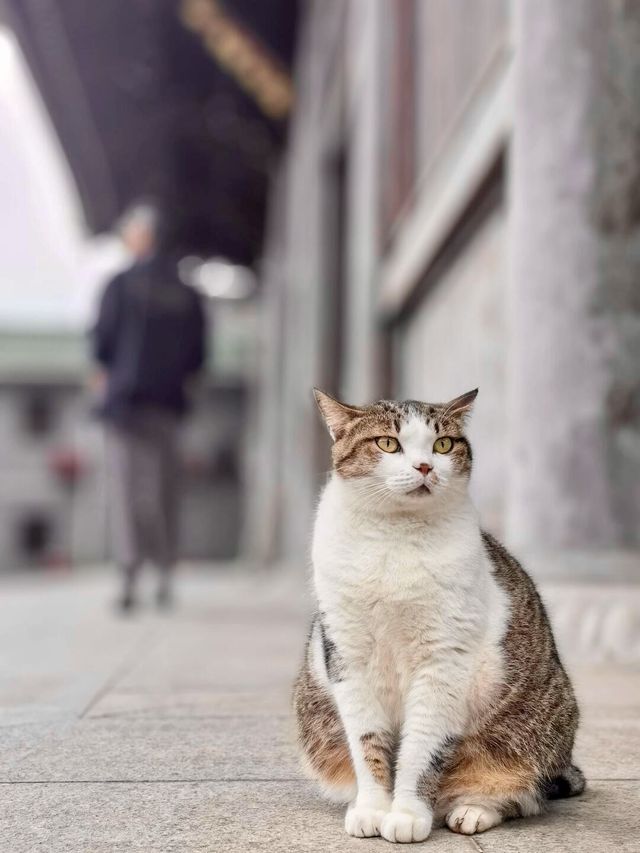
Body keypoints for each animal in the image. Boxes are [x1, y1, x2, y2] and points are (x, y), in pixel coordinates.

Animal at [292, 390, 584, 844]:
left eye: (443, 445)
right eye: (388, 443)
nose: (425, 466)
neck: (395, 537)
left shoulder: (443, 661)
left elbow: (421, 749)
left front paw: (407, 815)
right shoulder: (348, 656)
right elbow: (367, 742)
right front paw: (373, 808)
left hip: (530, 731)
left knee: (522, 791)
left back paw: (472, 810)